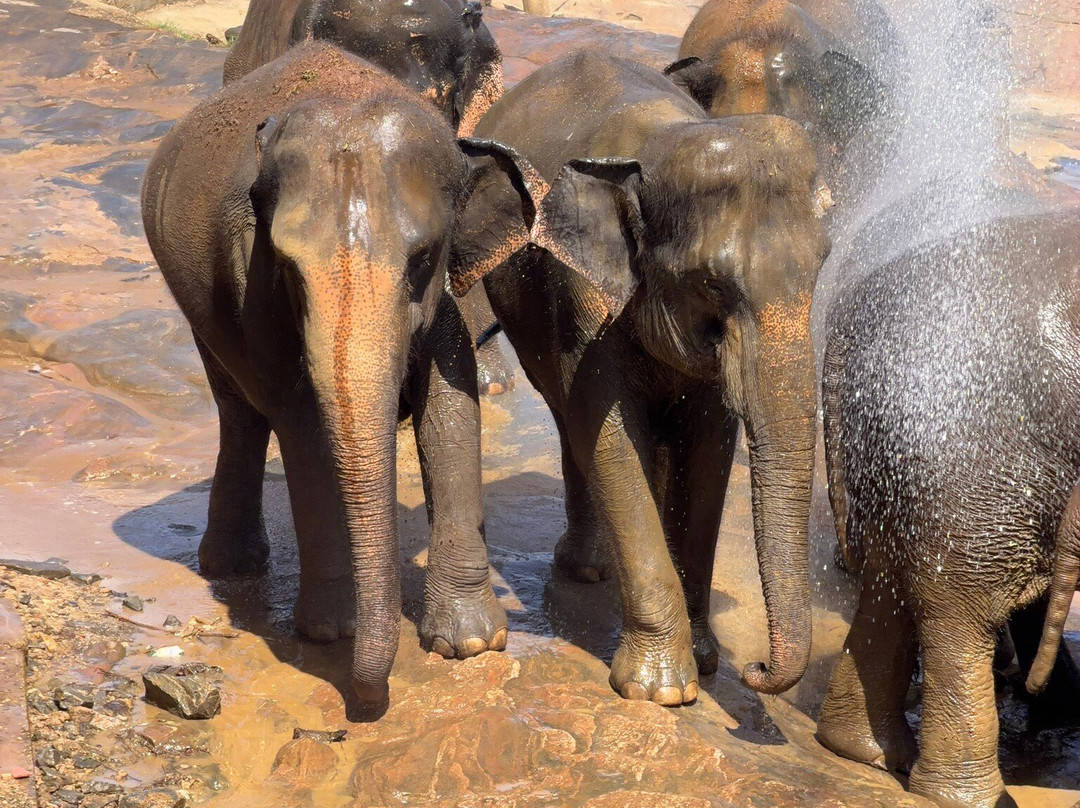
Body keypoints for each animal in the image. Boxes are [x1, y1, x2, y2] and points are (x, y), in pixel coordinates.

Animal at [141, 42, 526, 710]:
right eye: (289, 269)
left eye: (422, 259)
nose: (366, 705)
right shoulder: (252, 281)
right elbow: (299, 418)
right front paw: (331, 632)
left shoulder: (443, 300)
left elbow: (451, 404)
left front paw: (472, 643)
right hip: (197, 303)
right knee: (240, 409)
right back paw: (232, 568)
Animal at [452, 51, 831, 704]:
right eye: (712, 285)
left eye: (822, 265)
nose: (755, 668)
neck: (660, 140)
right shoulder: (581, 290)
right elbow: (608, 433)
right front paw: (661, 691)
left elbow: (709, 447)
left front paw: (704, 660)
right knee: (568, 418)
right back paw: (587, 569)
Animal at [816, 210, 1080, 808]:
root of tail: (848, 320)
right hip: (968, 450)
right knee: (960, 614)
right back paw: (966, 796)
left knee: (890, 584)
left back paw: (861, 750)